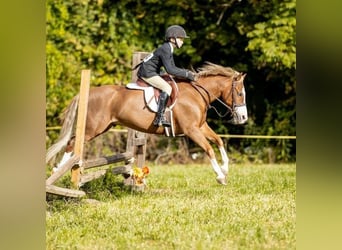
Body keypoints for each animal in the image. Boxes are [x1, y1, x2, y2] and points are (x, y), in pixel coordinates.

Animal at [46, 61, 247, 185]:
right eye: (240, 93)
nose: (244, 118)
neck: (196, 93)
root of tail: (86, 93)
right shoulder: (192, 130)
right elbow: (209, 149)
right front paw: (220, 176)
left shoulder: (200, 127)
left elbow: (218, 141)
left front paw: (225, 168)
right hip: (92, 128)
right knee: (72, 142)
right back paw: (58, 169)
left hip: (103, 127)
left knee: (72, 143)